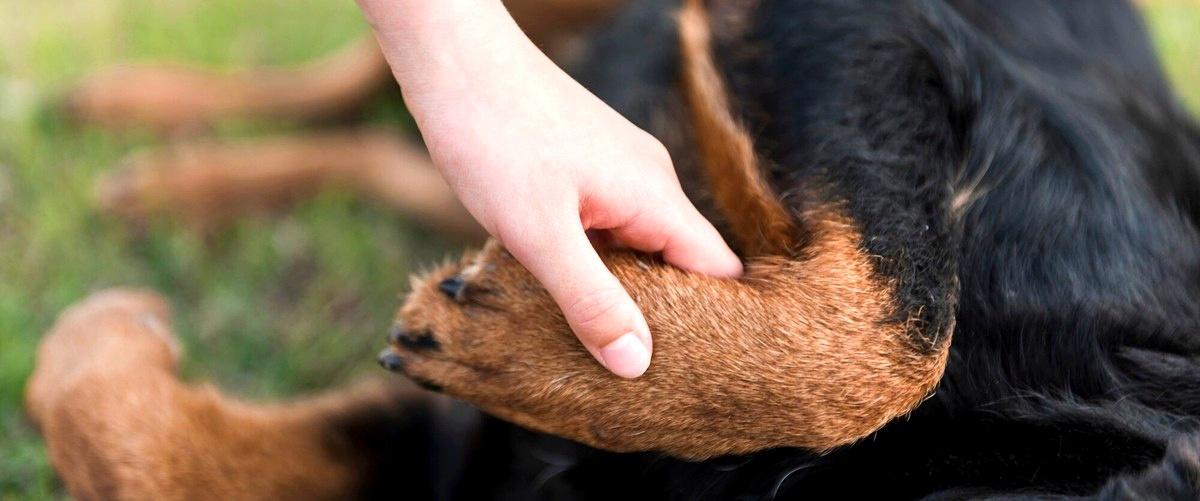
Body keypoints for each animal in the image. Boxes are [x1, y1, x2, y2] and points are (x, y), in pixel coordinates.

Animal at [21, 0, 1200, 498]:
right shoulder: (885, 42)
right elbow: (898, 326)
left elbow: (139, 446)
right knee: (353, 84)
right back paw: (144, 115)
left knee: (388, 143)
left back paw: (182, 180)